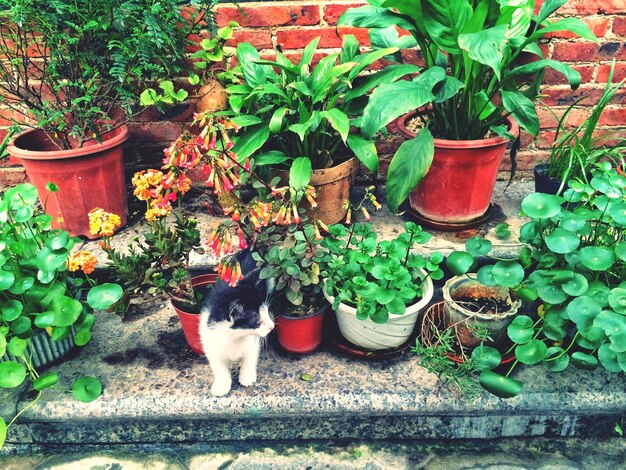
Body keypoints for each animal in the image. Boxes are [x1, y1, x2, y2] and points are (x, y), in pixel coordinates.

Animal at [199, 250, 274, 396]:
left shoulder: (252, 342)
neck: (234, 336)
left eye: (267, 311)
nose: (272, 326)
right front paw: (222, 385)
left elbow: (250, 356)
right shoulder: (210, 342)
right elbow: (218, 366)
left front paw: (247, 377)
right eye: (257, 320)